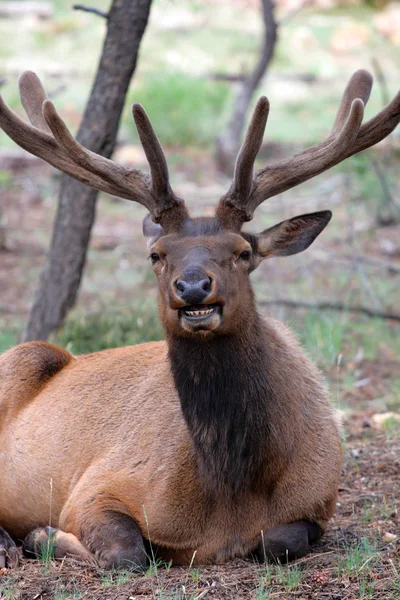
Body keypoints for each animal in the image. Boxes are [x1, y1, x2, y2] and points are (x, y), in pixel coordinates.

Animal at [0, 68, 398, 568]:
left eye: (243, 252)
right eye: (156, 254)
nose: (191, 288)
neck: (233, 490)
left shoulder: (320, 498)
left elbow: (280, 540)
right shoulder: (96, 486)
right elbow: (128, 552)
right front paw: (44, 534)